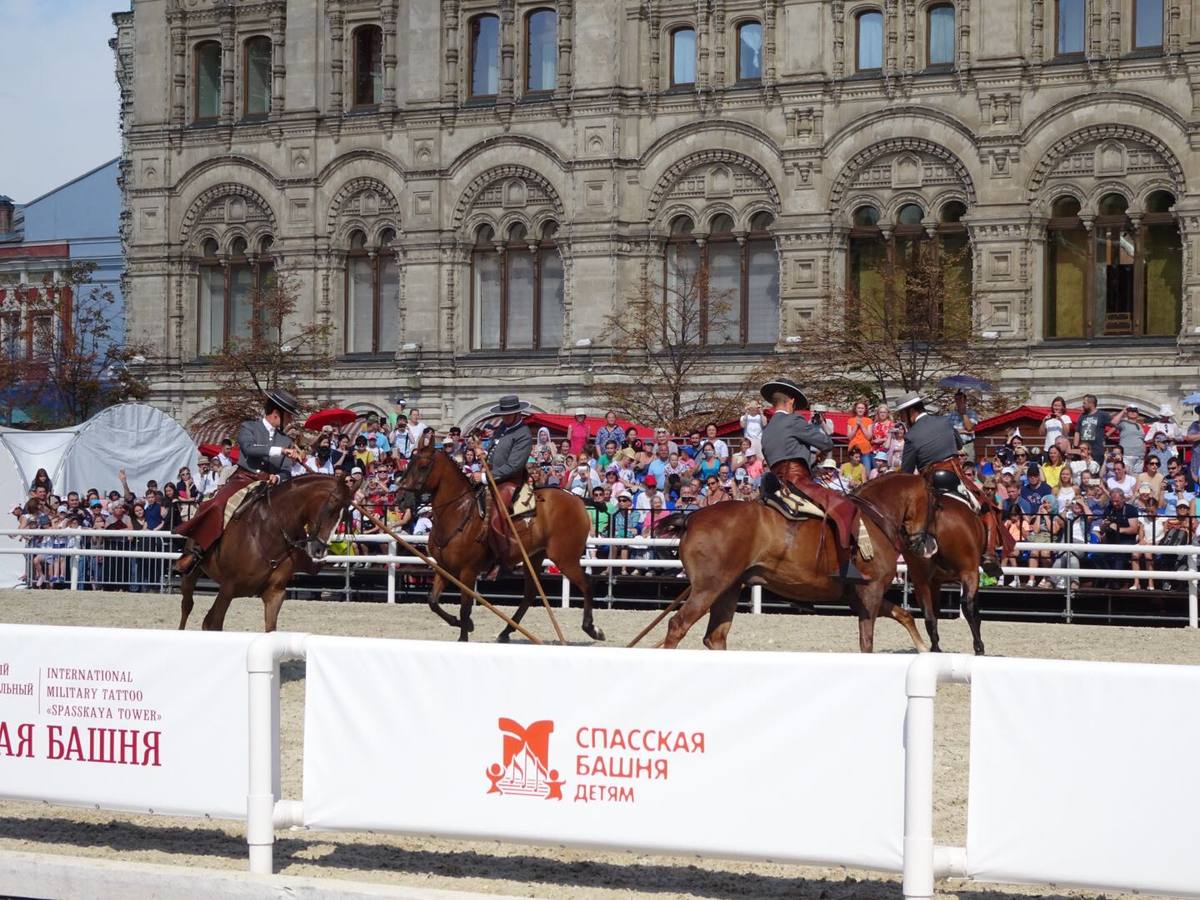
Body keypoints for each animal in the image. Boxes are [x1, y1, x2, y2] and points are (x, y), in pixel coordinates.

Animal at [176, 475, 350, 628]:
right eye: (332, 507)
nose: (319, 549)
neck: (268, 530)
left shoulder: (274, 593)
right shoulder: (227, 588)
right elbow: (213, 623)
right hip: (191, 573)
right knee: (187, 606)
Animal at [398, 434, 604, 643]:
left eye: (423, 466)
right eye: (410, 463)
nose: (400, 498)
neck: (459, 511)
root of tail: (577, 500)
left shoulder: (467, 572)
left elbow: (465, 608)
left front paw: (464, 634)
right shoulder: (444, 568)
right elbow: (432, 601)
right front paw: (463, 624)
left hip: (565, 558)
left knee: (587, 584)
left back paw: (592, 628)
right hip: (534, 557)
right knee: (530, 593)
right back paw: (505, 632)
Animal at [662, 472, 921, 657]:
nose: (923, 543)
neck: (874, 520)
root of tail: (691, 518)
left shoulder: (862, 596)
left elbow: (904, 615)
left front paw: (924, 648)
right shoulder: (871, 592)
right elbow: (867, 642)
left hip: (728, 589)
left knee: (715, 637)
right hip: (708, 588)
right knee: (678, 625)